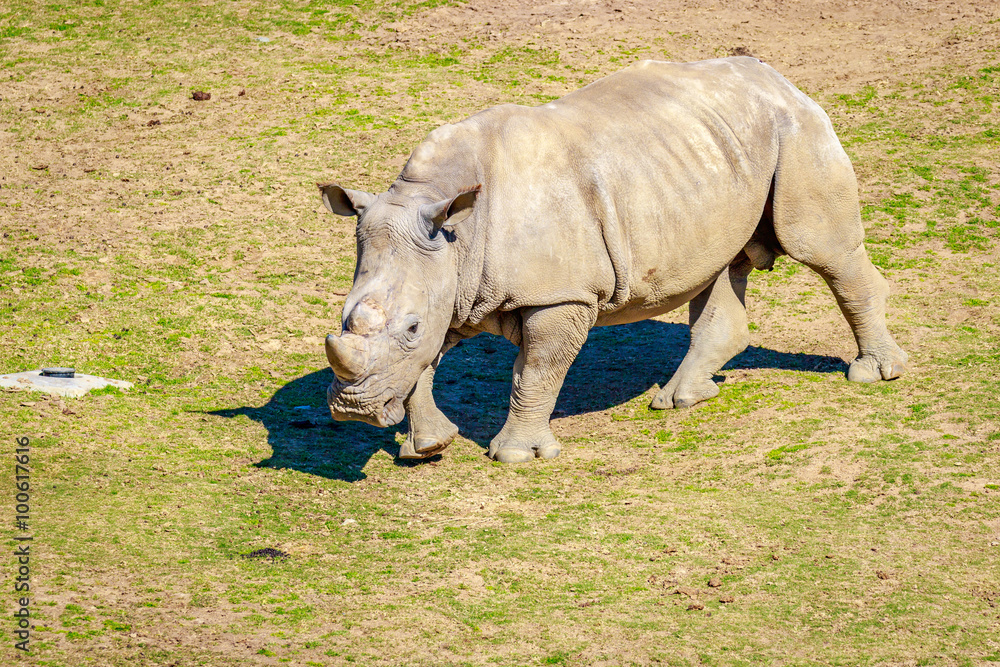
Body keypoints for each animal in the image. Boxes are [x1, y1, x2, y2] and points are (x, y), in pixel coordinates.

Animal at [319, 56, 907, 463]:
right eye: (342, 319)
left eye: (411, 326)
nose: (352, 411)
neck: (453, 228)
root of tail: (779, 78)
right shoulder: (450, 283)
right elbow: (422, 370)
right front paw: (427, 448)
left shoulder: (561, 295)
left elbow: (536, 370)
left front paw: (516, 455)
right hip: (716, 150)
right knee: (719, 268)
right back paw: (679, 399)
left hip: (797, 131)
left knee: (822, 251)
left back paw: (875, 374)